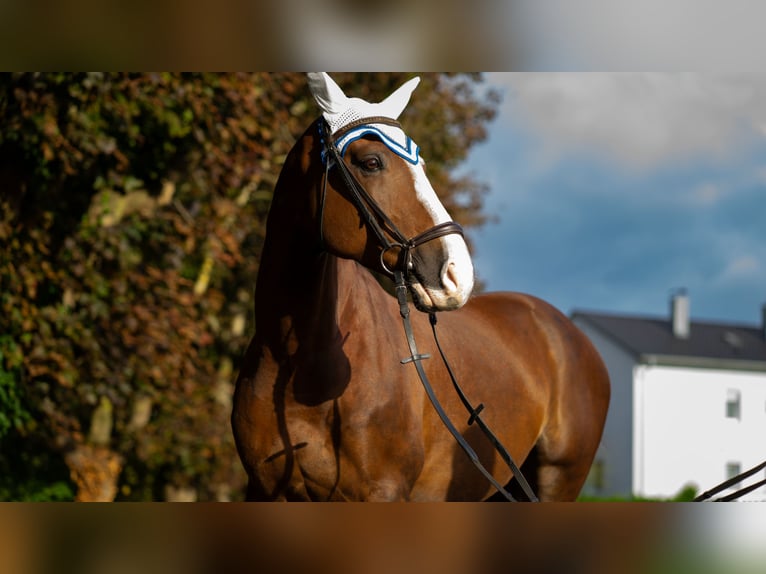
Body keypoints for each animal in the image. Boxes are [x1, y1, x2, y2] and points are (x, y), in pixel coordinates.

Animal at [234, 74, 612, 502]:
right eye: (371, 162)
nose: (456, 274)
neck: (300, 363)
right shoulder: (264, 490)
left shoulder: (382, 492)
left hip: (558, 480)